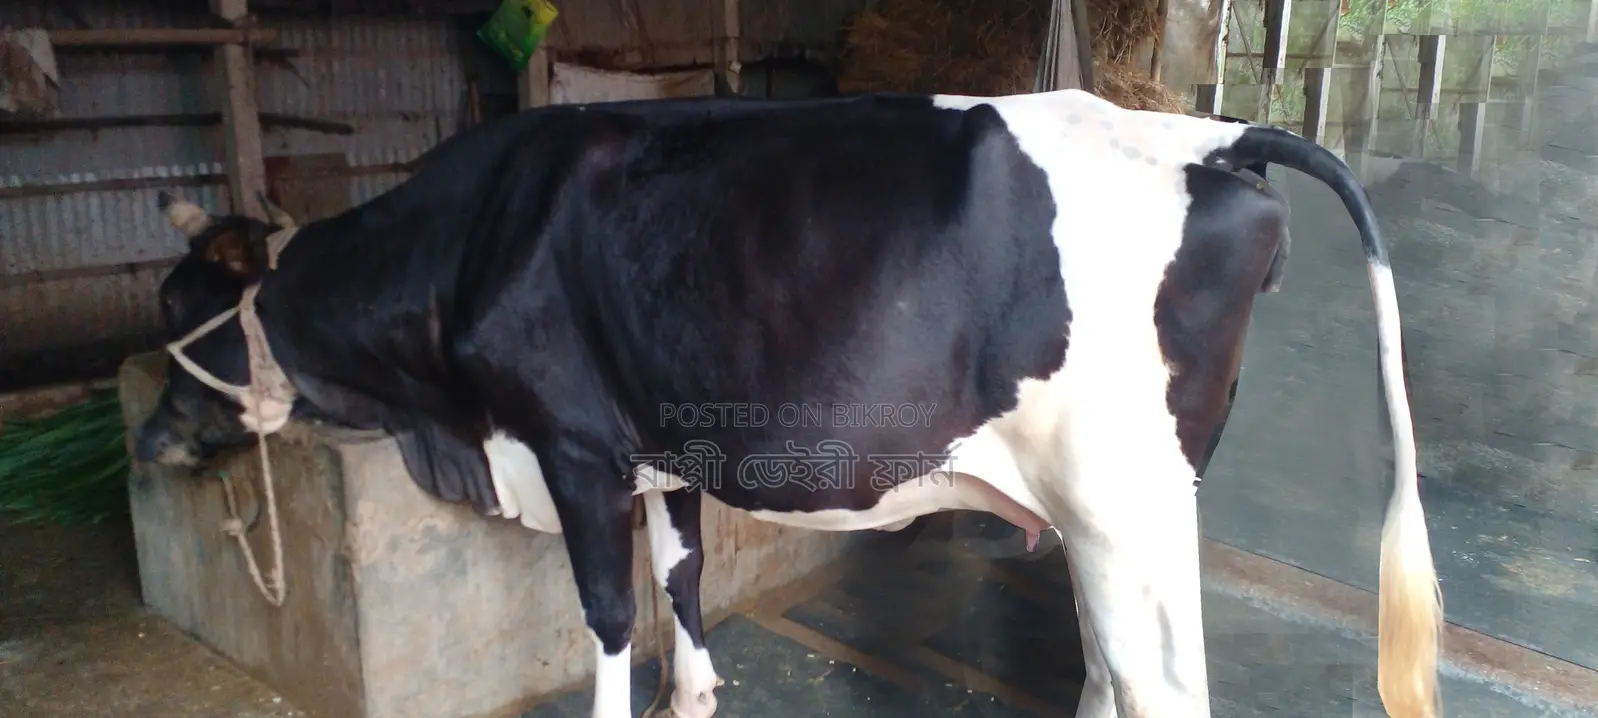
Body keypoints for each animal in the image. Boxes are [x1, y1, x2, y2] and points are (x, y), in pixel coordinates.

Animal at [131, 88, 1441, 718]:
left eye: (175, 306)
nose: (142, 443)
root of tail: (1207, 134)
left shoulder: (571, 444)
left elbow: (606, 611)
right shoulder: (658, 444)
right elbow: (680, 575)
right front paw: (695, 695)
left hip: (1119, 499)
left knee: (1159, 685)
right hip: (1128, 507)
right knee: (1113, 669)